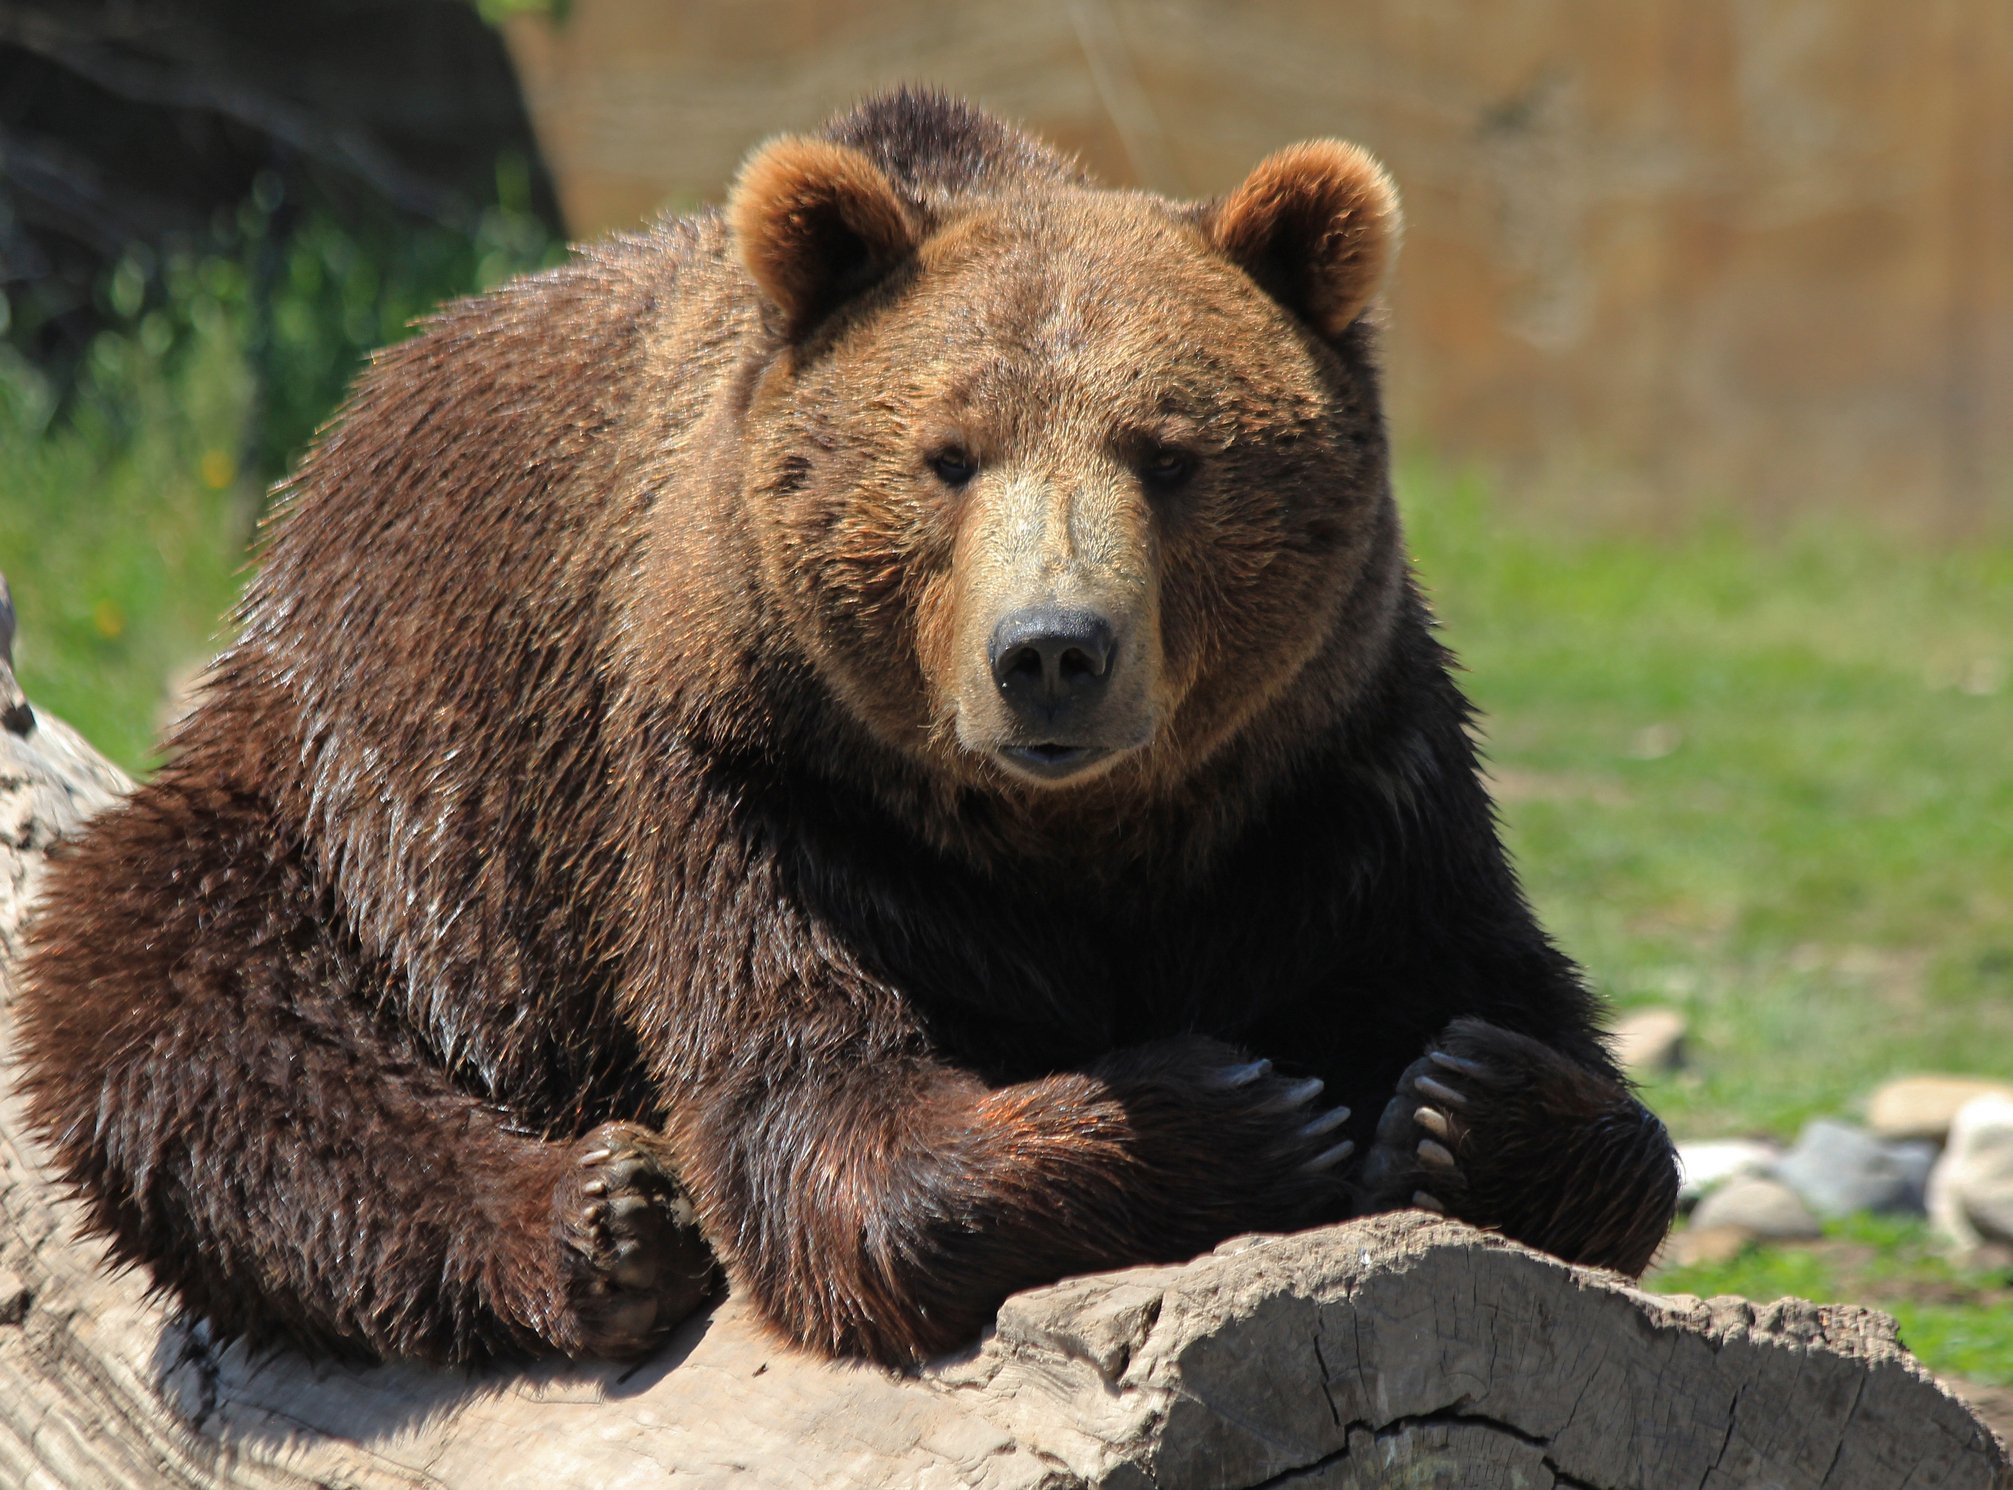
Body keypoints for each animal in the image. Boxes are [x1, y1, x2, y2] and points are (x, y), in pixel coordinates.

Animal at [11, 93, 1682, 1369]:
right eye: (948, 456)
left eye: (1171, 453)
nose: (1051, 653)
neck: (1082, 840)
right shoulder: (763, 783)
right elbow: (822, 1113)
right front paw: (1232, 1111)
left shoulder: (1337, 774)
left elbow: (1519, 1012)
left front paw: (1466, 1099)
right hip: (359, 795)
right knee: (192, 1015)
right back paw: (599, 1217)